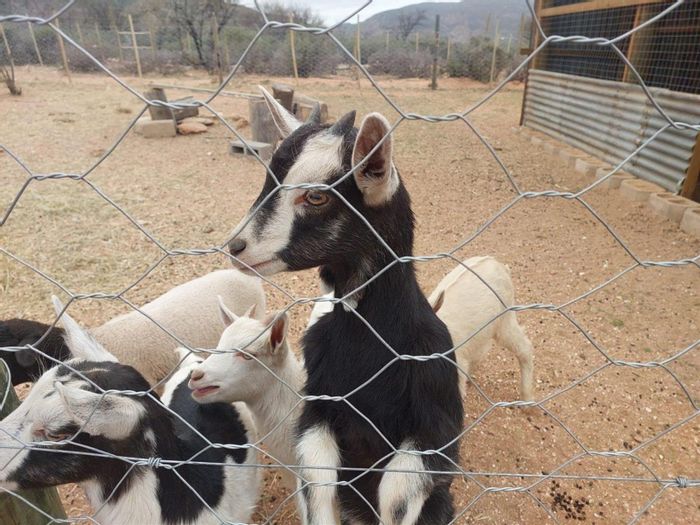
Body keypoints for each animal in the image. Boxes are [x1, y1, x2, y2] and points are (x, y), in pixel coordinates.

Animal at [225, 87, 463, 524]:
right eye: (267, 177)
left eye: (317, 195)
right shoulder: (319, 406)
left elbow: (397, 495)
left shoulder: (434, 425)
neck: (367, 346)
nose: (236, 247)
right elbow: (318, 478)